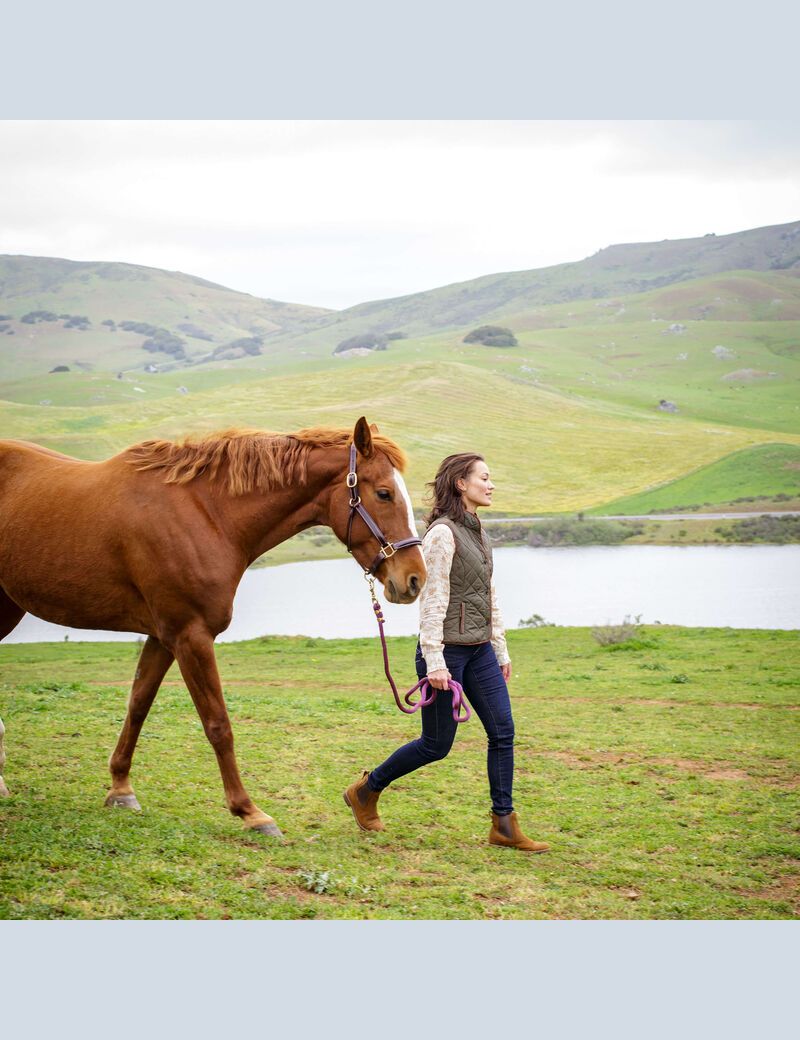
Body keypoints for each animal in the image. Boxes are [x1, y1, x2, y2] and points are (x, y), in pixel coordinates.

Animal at [0, 413, 424, 836]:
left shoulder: (162, 637)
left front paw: (120, 788)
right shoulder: (191, 636)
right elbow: (218, 724)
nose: (415, 579)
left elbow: (138, 706)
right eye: (384, 493)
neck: (206, 515)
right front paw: (250, 811)